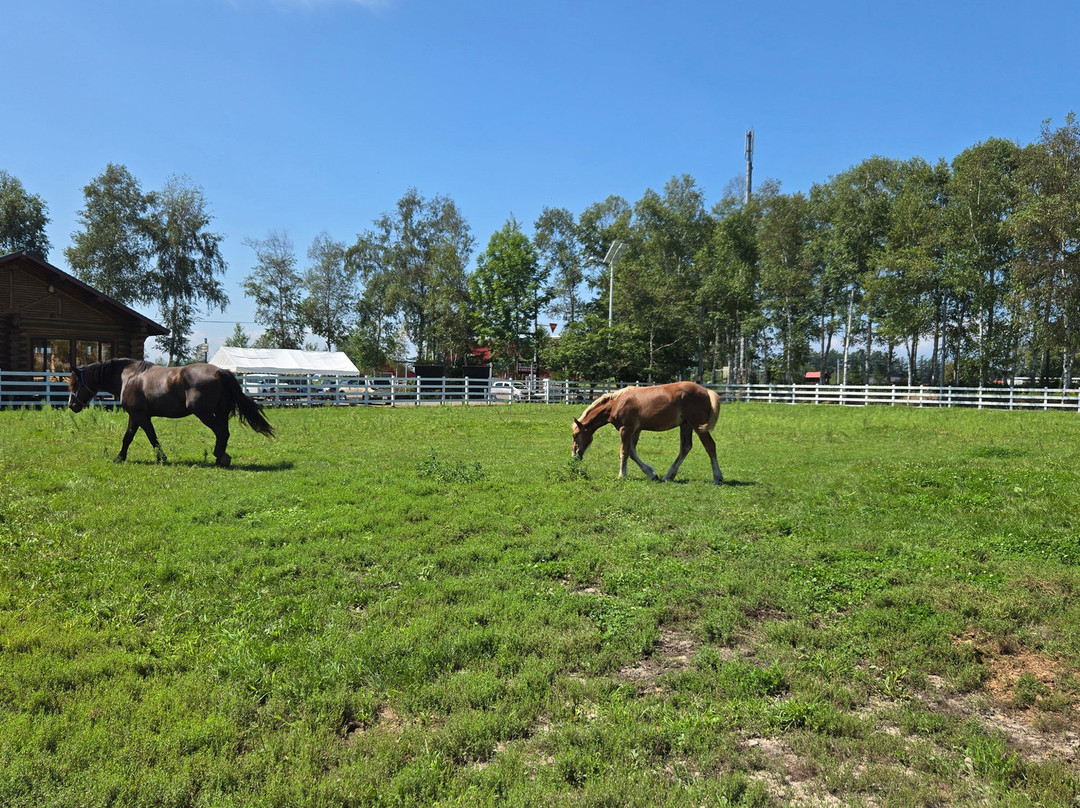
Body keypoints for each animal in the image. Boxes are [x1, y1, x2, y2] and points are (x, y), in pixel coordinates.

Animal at [68, 358, 275, 467]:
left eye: (75, 384)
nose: (71, 405)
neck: (129, 377)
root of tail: (220, 371)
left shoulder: (139, 416)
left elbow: (146, 437)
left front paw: (160, 458)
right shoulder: (137, 417)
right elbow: (133, 437)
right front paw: (122, 457)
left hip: (203, 413)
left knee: (221, 432)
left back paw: (220, 457)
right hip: (221, 412)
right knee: (223, 432)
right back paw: (221, 457)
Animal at [571, 382, 723, 484]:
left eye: (575, 435)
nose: (575, 457)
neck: (617, 403)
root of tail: (707, 391)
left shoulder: (626, 429)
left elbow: (624, 452)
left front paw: (622, 475)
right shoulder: (635, 430)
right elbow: (632, 453)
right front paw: (651, 474)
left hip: (697, 425)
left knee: (710, 445)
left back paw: (717, 478)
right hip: (686, 425)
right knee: (685, 448)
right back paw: (668, 476)